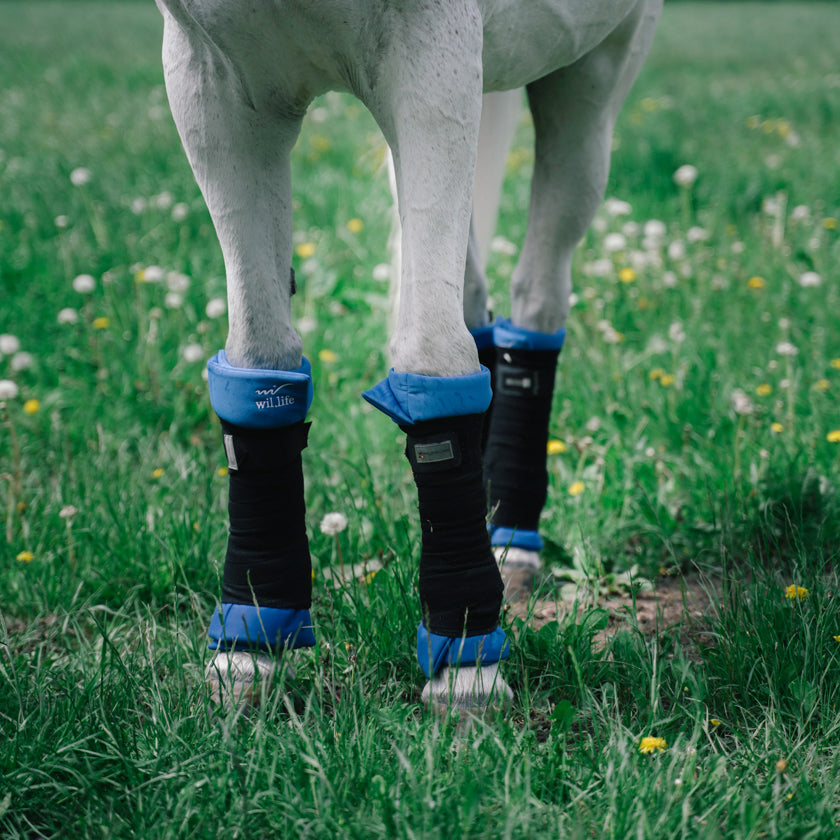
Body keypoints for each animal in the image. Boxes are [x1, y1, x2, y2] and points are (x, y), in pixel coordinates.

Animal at [154, 0, 660, 708]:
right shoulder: (212, 81)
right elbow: (257, 360)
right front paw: (252, 640)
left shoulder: (430, 67)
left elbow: (433, 357)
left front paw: (467, 663)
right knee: (473, 303)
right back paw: (498, 531)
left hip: (590, 75)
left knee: (536, 297)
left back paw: (514, 540)